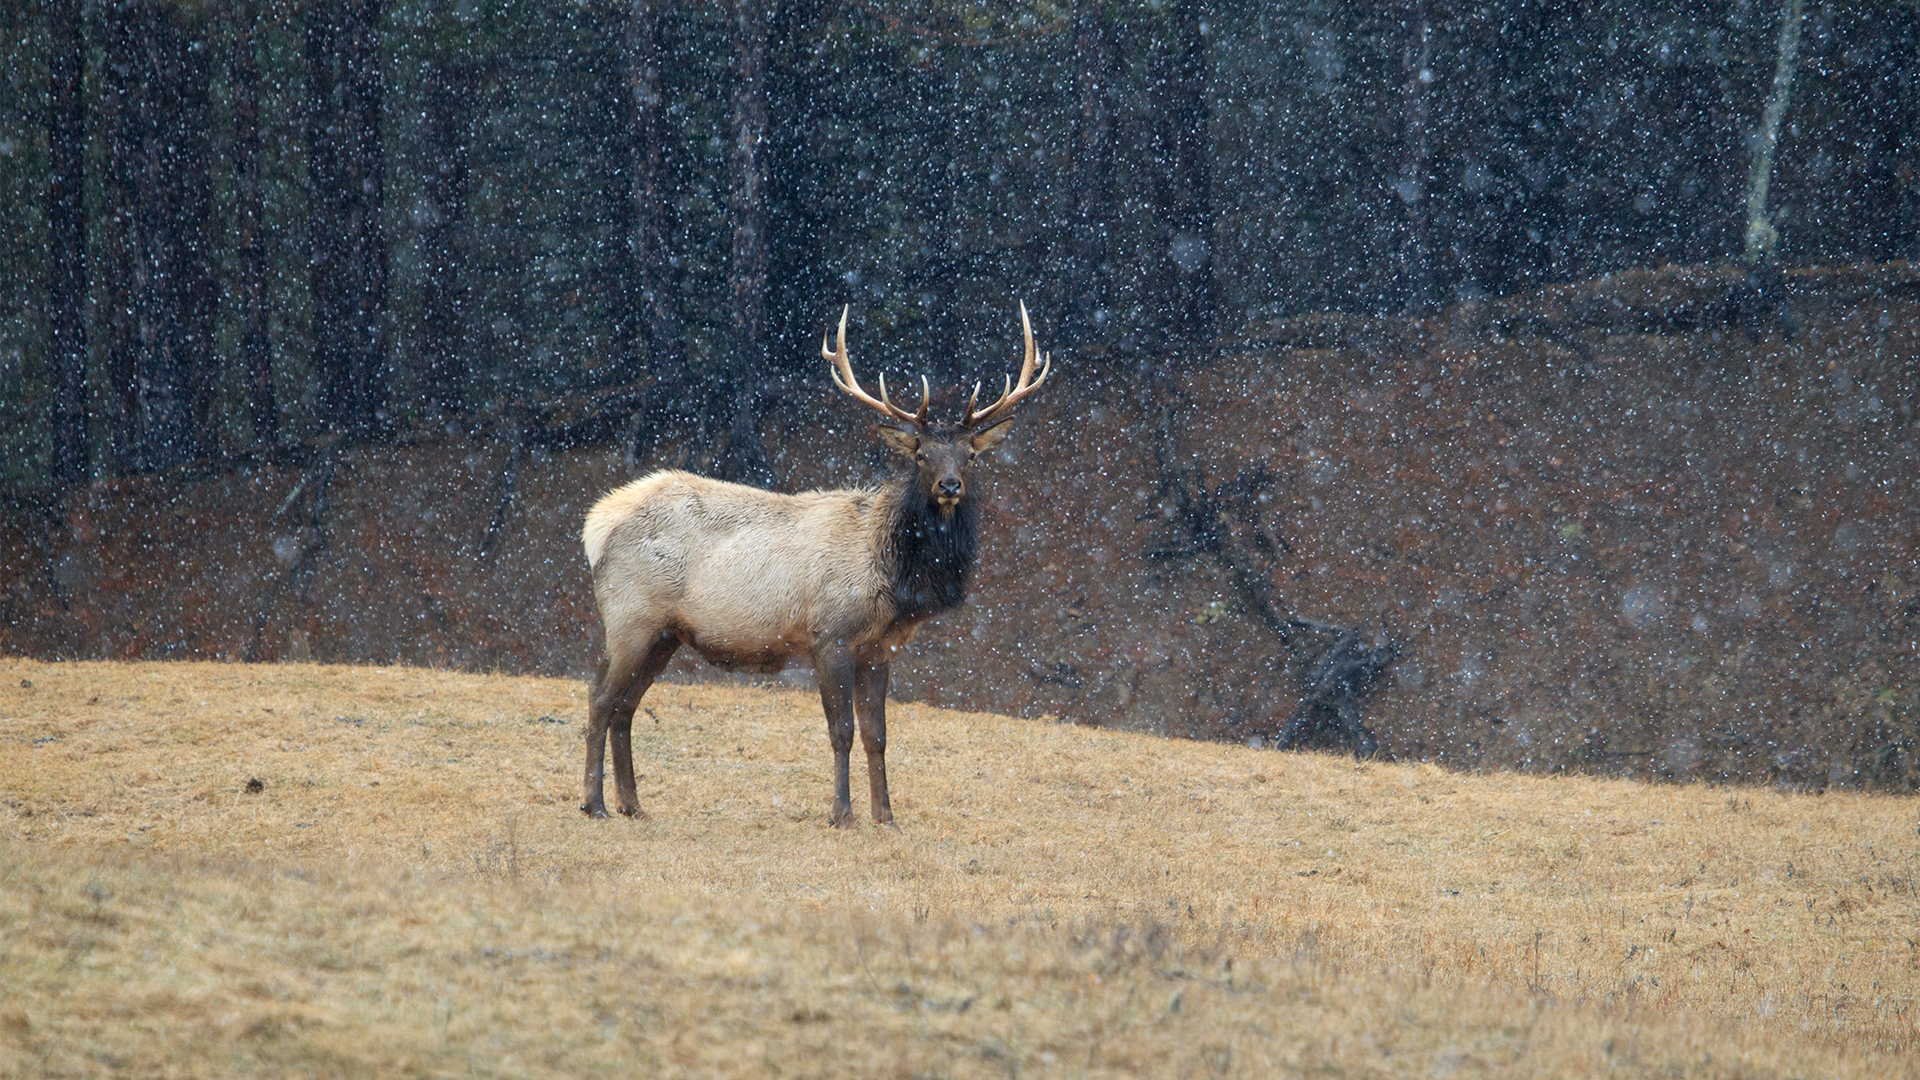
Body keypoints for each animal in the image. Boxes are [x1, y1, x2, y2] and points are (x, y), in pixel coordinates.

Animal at [579, 303, 1052, 822]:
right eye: (921, 454)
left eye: (970, 455)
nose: (950, 485)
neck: (893, 576)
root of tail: (596, 526)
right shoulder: (831, 635)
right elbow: (841, 731)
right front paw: (842, 814)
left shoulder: (878, 649)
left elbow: (878, 735)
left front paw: (885, 817)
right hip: (630, 619)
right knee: (600, 698)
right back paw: (594, 803)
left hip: (664, 634)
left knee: (626, 706)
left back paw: (632, 804)